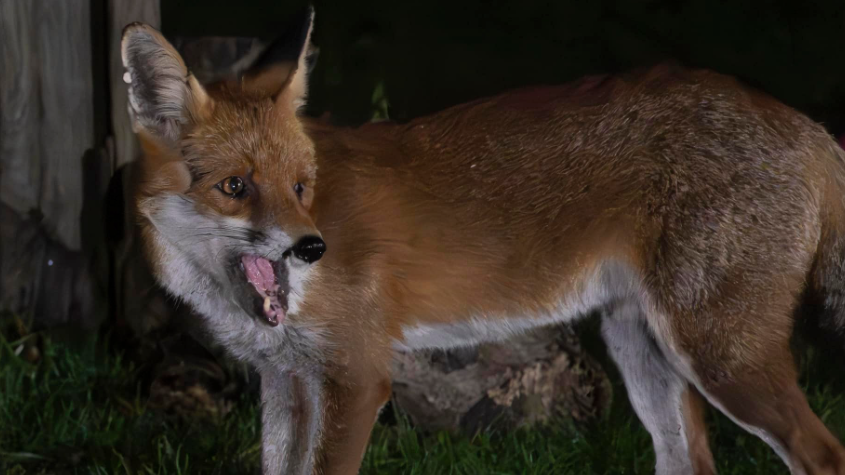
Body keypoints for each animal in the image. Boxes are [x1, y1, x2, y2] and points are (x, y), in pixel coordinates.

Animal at [123, 7, 844, 475]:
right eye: (235, 186)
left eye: (302, 186)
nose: (310, 248)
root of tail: (807, 125)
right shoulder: (287, 378)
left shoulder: (356, 377)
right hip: (641, 348)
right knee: (692, 459)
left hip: (718, 354)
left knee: (824, 454)